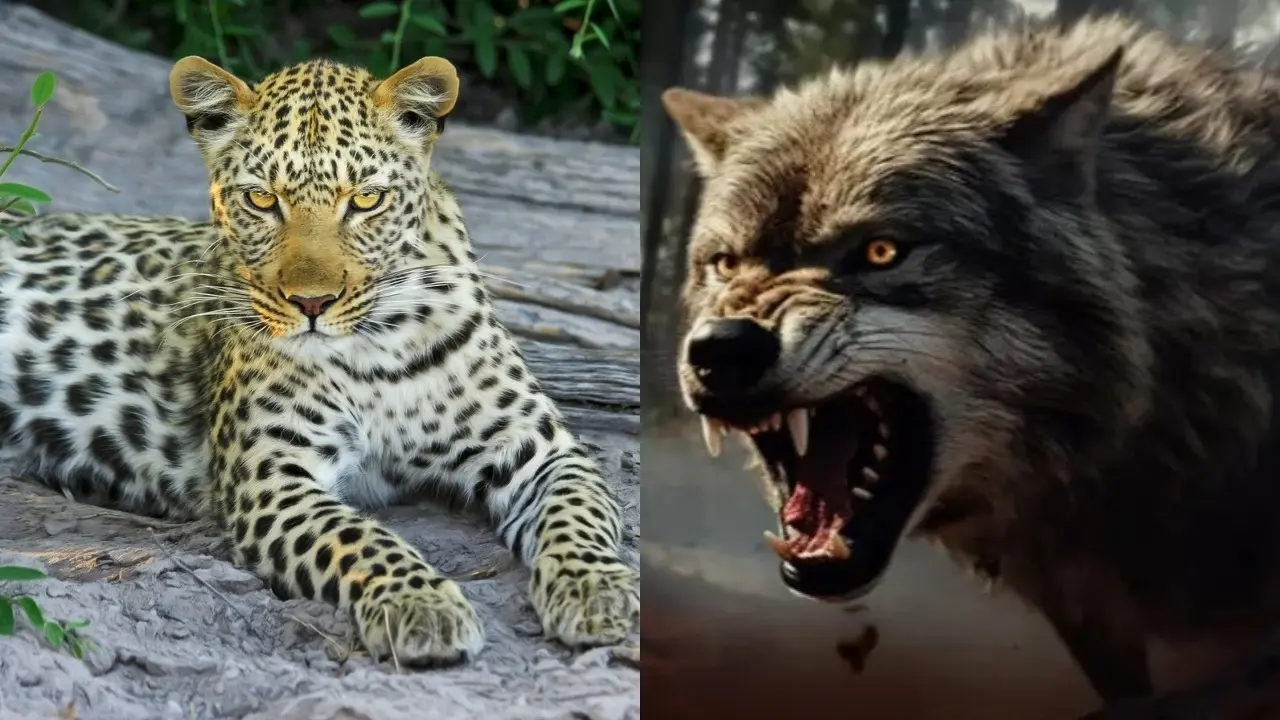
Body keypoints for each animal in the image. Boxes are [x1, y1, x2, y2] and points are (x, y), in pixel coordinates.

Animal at [0, 53, 638, 667]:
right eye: (262, 199)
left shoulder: (539, 449)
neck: (380, 346)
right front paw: (420, 603)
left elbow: (577, 514)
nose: (312, 303)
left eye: (365, 200)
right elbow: (358, 537)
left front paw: (596, 591)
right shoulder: (273, 476)